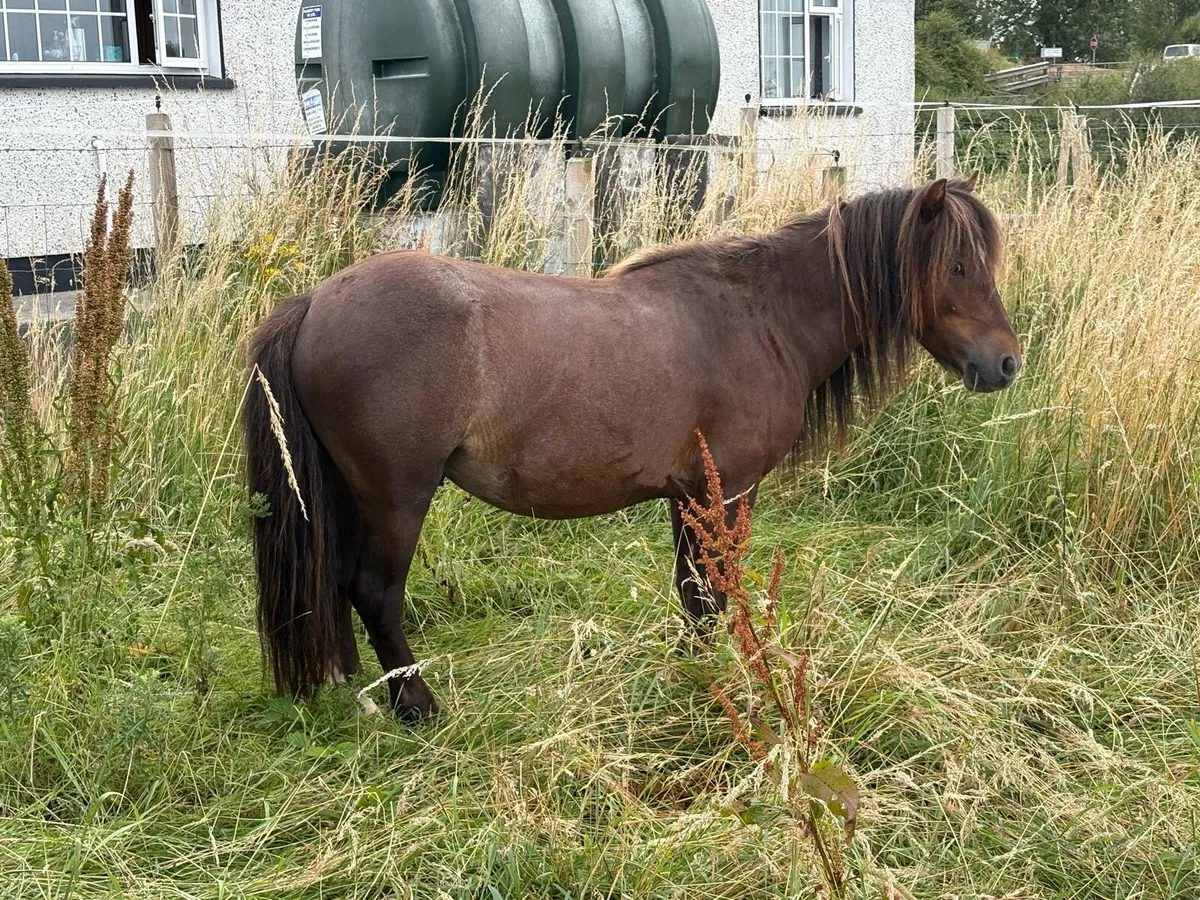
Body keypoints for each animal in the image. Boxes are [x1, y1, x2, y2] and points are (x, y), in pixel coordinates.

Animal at [243, 176, 1020, 722]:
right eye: (957, 266)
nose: (1006, 364)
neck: (760, 316)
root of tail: (313, 301)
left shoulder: (690, 495)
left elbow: (693, 595)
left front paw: (689, 671)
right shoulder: (730, 490)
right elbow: (714, 593)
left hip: (348, 496)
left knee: (333, 582)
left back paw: (358, 690)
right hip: (397, 495)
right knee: (373, 591)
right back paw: (417, 706)